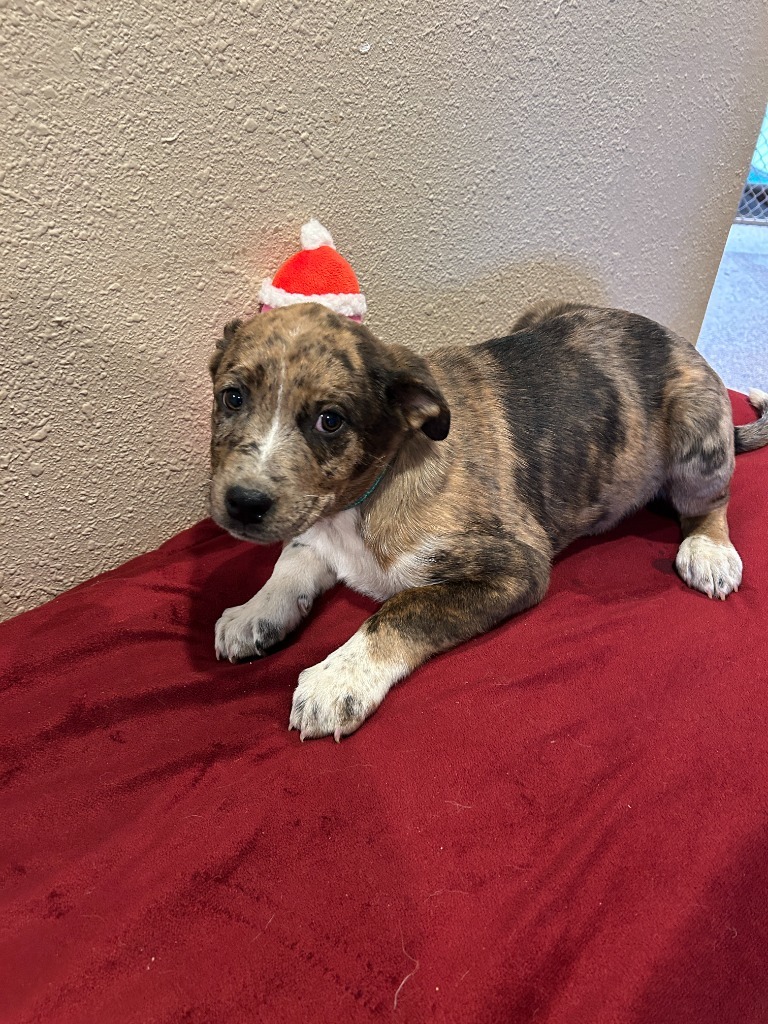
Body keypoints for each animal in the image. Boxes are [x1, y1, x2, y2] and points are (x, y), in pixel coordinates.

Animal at [210, 299, 768, 741]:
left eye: (331, 421)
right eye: (231, 397)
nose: (243, 503)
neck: (366, 497)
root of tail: (686, 347)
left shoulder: (516, 566)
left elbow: (402, 608)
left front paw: (337, 679)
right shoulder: (315, 526)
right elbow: (292, 561)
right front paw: (253, 612)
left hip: (696, 426)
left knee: (710, 500)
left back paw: (710, 550)